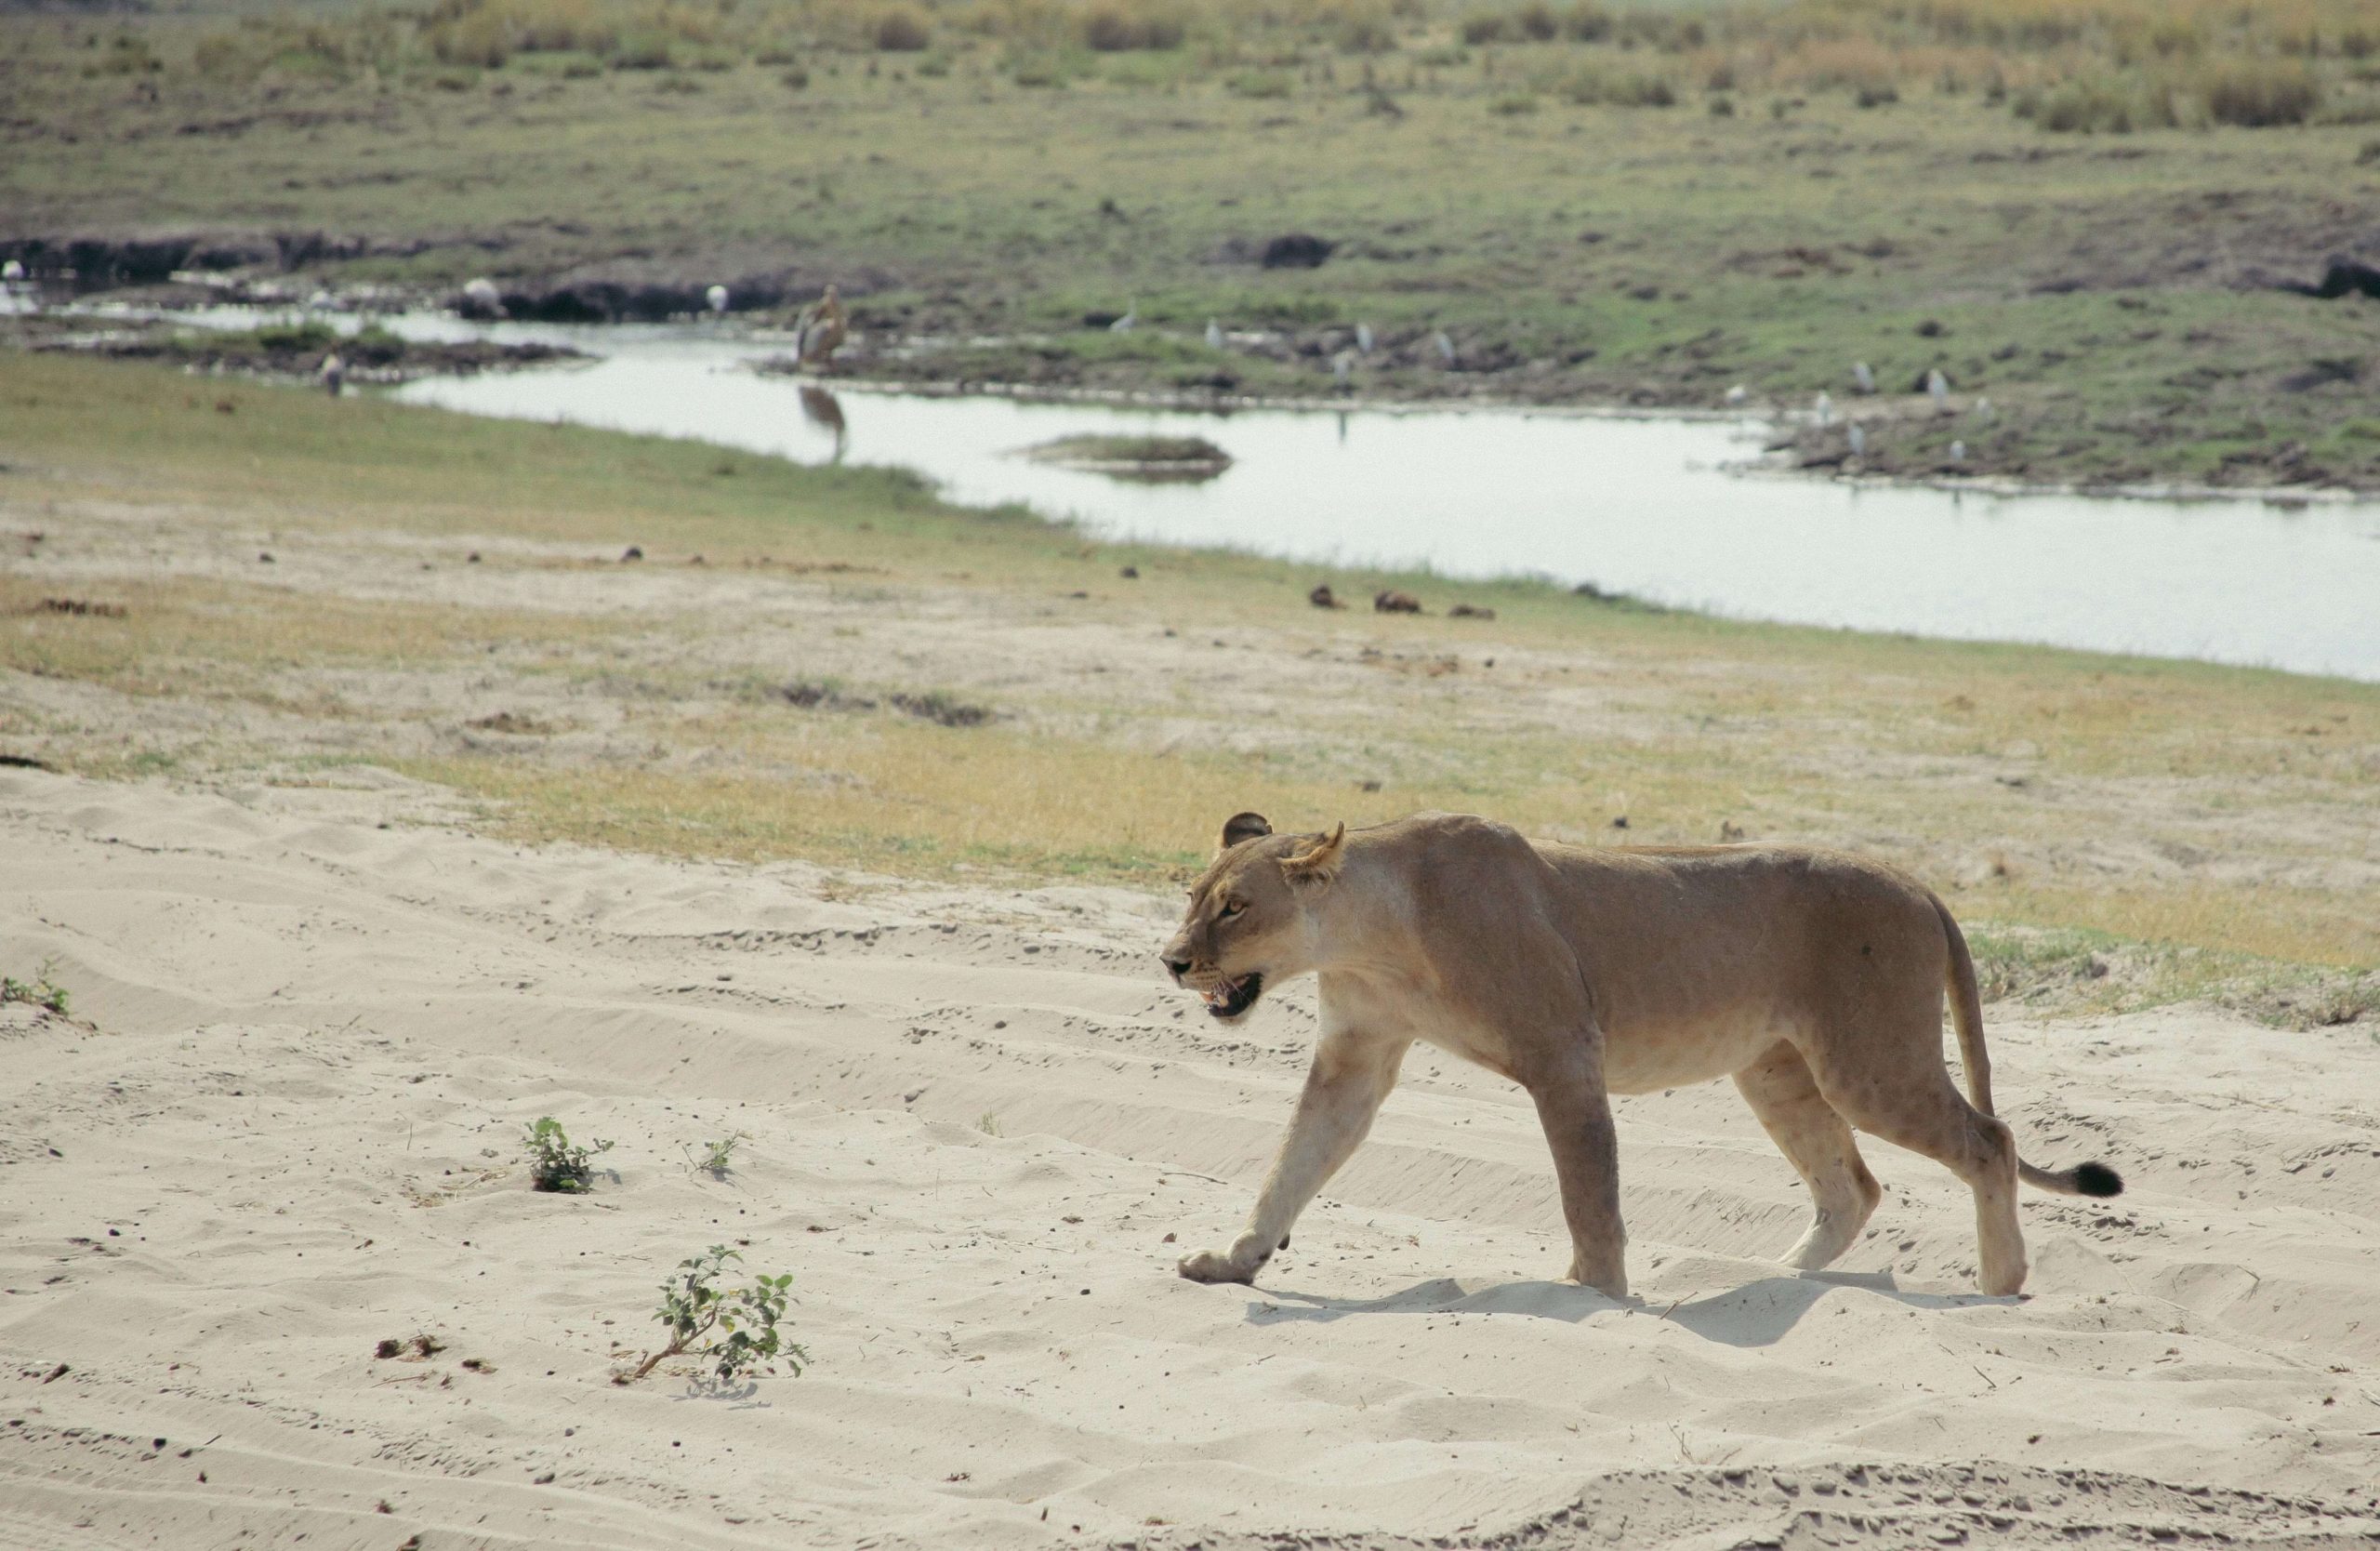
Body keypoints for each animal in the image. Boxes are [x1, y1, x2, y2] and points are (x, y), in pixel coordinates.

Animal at [1158, 811, 2121, 1299]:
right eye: (1195, 898)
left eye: (1236, 907)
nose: (1171, 961)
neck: (1371, 937)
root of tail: (1920, 884)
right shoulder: (1354, 1057)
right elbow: (1293, 1164)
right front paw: (1236, 1260)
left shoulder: (1565, 1057)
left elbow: (1590, 1195)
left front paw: (1598, 1294)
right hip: (1775, 1070)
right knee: (1854, 1187)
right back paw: (1771, 1280)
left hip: (1870, 1061)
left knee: (1990, 1142)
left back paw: (1999, 1286)